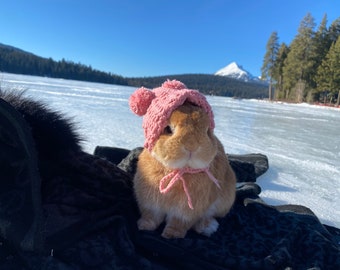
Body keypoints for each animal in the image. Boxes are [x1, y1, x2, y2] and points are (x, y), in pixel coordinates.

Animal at [129, 79, 235, 238]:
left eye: (207, 131)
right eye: (167, 129)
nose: (191, 145)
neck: (178, 171)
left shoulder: (186, 212)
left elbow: (179, 222)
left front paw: (171, 235)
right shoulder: (150, 204)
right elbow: (151, 216)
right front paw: (144, 226)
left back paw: (207, 227)